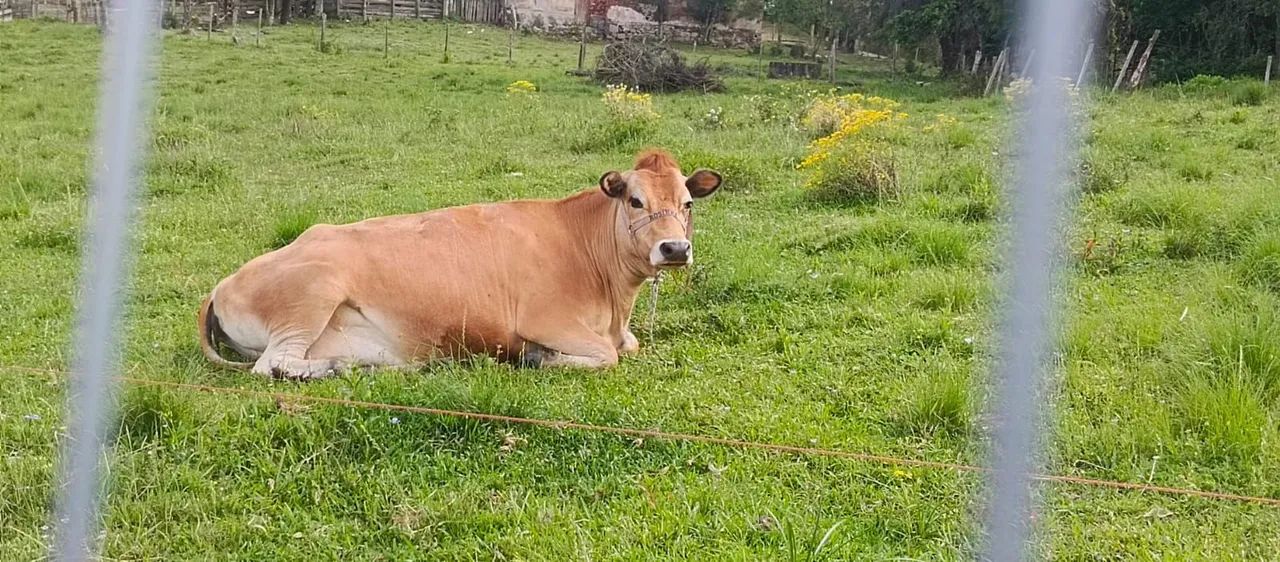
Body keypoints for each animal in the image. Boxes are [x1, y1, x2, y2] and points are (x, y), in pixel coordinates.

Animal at [197, 149, 722, 379]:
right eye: (635, 201)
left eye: (687, 203)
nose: (674, 249)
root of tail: (223, 282)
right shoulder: (546, 320)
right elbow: (607, 355)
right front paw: (537, 357)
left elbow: (627, 347)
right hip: (312, 292)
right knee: (270, 364)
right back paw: (327, 372)